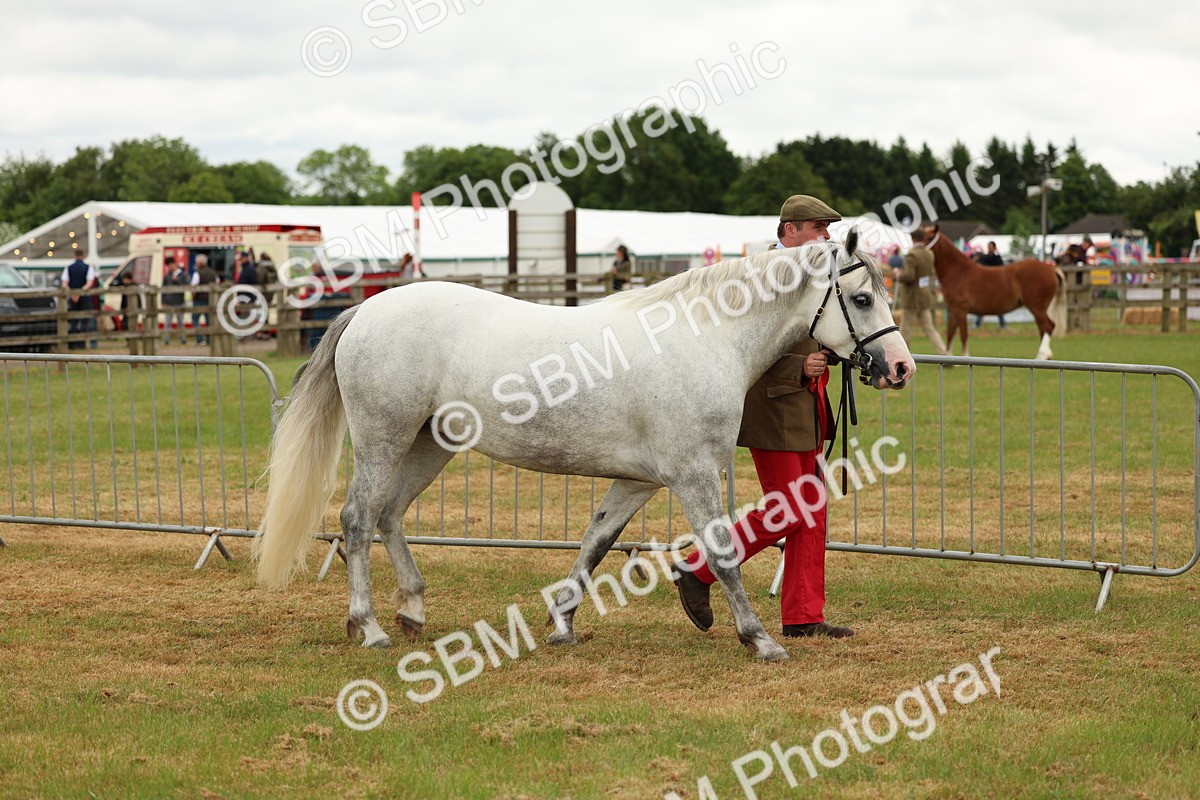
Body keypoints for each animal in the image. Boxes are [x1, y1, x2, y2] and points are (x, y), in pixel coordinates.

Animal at [253, 233, 915, 662]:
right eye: (862, 299)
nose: (901, 367)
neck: (705, 337)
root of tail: (366, 309)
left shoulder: (641, 480)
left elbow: (595, 544)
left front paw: (561, 625)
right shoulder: (693, 473)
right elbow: (724, 553)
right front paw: (760, 639)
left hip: (429, 444)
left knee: (389, 516)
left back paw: (412, 611)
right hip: (383, 438)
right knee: (358, 519)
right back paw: (368, 628)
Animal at [925, 225, 1067, 359]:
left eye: (928, 237)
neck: (958, 271)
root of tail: (1051, 269)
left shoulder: (960, 309)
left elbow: (963, 334)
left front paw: (964, 357)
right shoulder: (953, 310)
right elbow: (950, 333)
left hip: (1037, 307)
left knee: (1048, 326)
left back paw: (1041, 356)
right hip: (1038, 309)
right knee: (1042, 328)